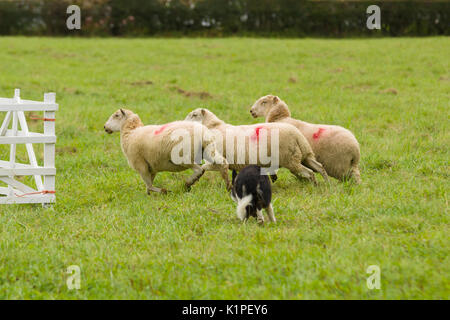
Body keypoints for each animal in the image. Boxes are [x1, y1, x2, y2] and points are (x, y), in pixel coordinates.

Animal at [185, 107, 328, 184]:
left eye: (194, 115)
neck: (214, 127)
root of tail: (297, 135)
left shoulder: (218, 160)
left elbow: (204, 167)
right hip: (305, 155)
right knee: (319, 167)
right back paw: (326, 184)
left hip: (291, 159)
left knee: (310, 173)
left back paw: (314, 185)